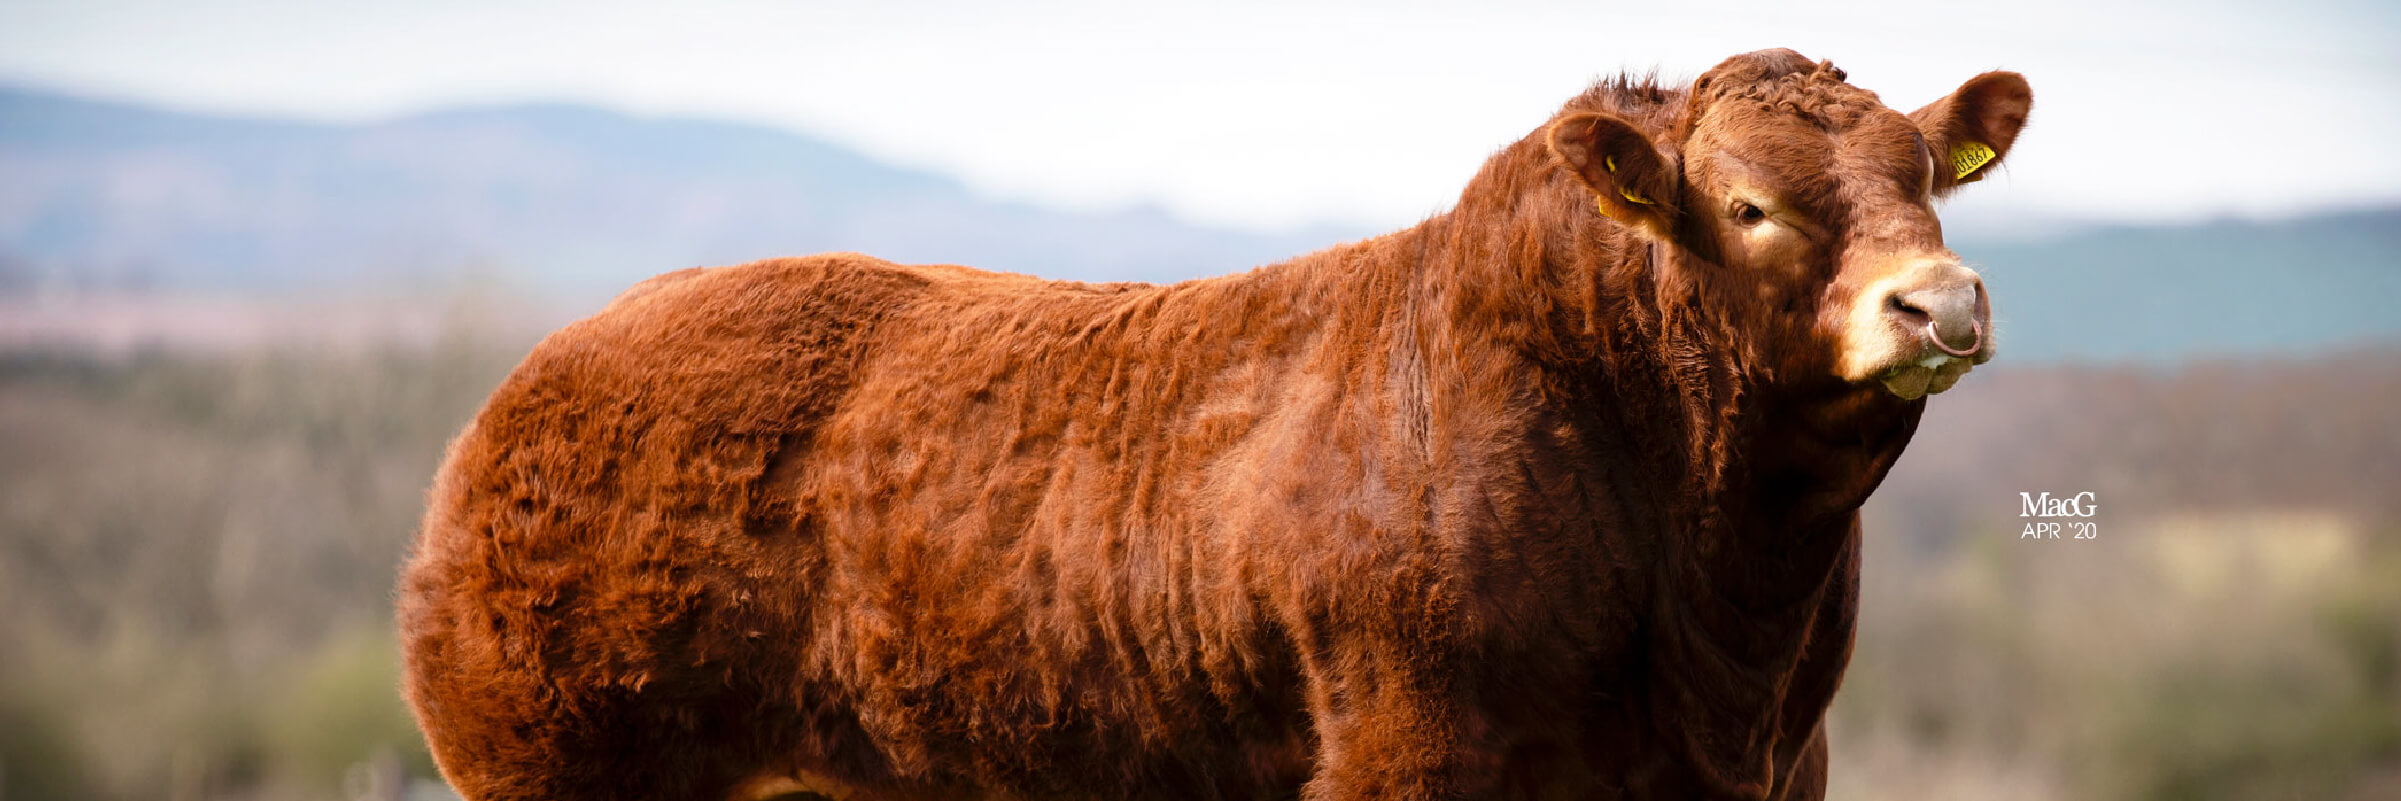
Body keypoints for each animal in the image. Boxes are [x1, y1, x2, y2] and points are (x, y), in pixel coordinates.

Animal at [403, 50, 2036, 801]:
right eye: (1748, 205)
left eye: (1928, 180)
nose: (1941, 300)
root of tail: (521, 396)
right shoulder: (1404, 743)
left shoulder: (1783, 763)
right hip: (551, 760)